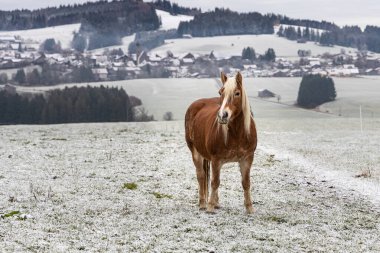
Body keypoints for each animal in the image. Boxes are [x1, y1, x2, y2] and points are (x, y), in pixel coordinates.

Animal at [185, 71, 258, 213]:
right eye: (220, 92)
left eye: (237, 93)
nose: (222, 116)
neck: (237, 134)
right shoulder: (216, 159)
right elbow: (214, 182)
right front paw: (210, 207)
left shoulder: (247, 158)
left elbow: (246, 183)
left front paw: (249, 208)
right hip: (196, 153)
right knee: (201, 176)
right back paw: (203, 204)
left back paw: (216, 203)